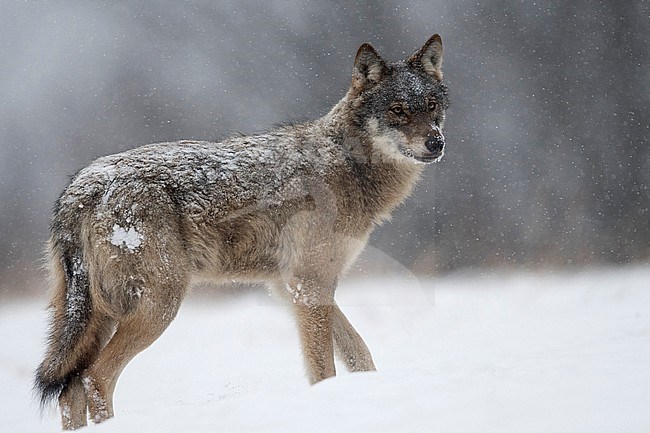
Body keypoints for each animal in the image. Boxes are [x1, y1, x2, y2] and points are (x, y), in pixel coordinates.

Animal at [35, 34, 448, 428]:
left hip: (99, 319)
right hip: (158, 307)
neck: (345, 164)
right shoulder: (309, 285)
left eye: (431, 106)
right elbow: (324, 368)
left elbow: (360, 353)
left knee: (69, 390)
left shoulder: (291, 287)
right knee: (96, 378)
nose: (436, 142)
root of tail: (83, 186)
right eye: (397, 110)